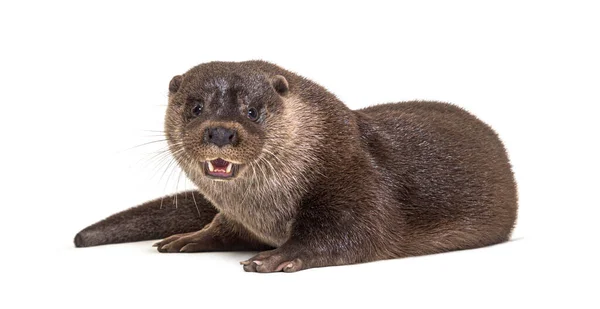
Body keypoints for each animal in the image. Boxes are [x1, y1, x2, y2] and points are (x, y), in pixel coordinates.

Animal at [74, 60, 516, 272]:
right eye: (196, 108)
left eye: (253, 111)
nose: (220, 132)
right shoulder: (237, 215)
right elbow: (223, 226)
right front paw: (188, 237)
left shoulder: (355, 181)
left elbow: (354, 234)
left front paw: (277, 257)